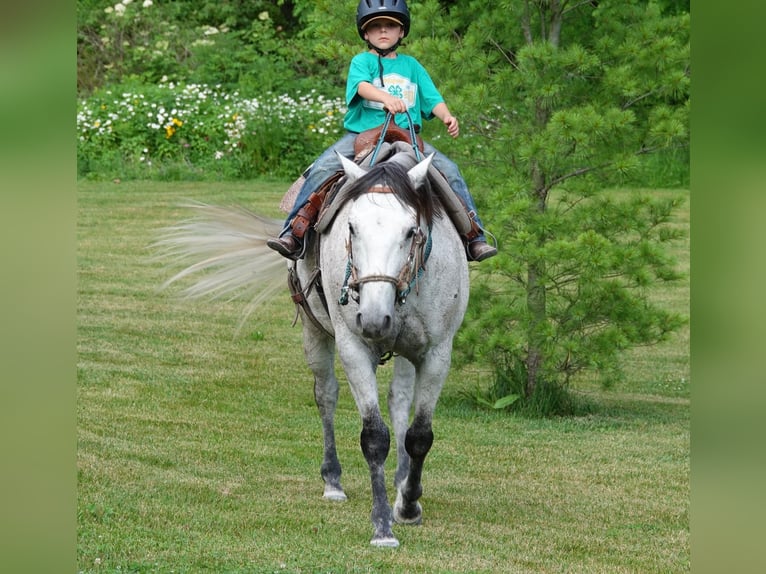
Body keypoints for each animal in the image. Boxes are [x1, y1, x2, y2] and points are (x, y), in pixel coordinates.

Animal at [155, 145, 469, 548]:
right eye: (351, 228)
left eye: (411, 231)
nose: (373, 318)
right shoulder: (353, 348)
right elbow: (374, 437)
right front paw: (383, 526)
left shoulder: (436, 353)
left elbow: (419, 435)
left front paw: (409, 504)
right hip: (314, 333)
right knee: (326, 395)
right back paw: (333, 481)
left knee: (398, 402)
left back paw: (400, 480)